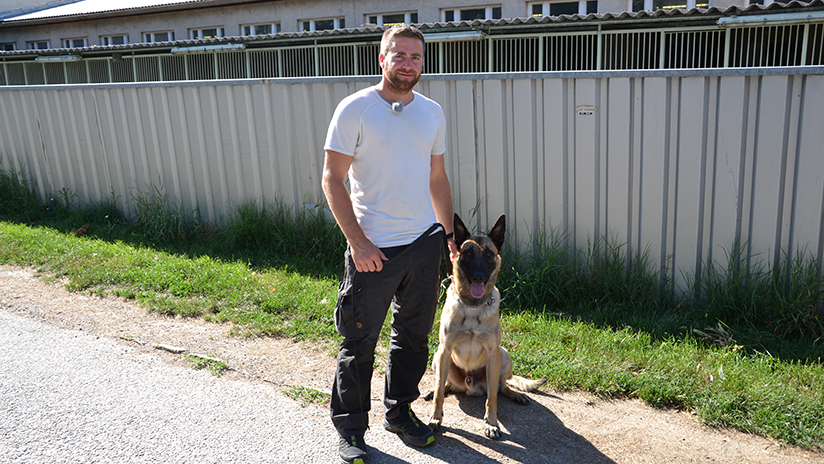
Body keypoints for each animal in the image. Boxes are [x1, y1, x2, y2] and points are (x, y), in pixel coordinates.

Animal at [424, 214, 548, 438]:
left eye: (489, 254)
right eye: (468, 254)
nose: (478, 277)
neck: (473, 306)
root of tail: (470, 386)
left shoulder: (492, 352)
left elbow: (492, 397)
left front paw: (492, 423)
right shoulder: (444, 350)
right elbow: (439, 392)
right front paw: (435, 418)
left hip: (503, 354)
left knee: (501, 386)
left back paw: (515, 395)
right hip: (437, 358)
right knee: (445, 384)